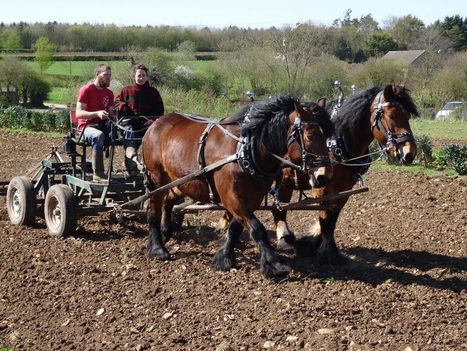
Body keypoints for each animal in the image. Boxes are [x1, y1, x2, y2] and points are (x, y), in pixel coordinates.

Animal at [142, 95, 332, 278]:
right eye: (310, 136)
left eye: (328, 136)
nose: (324, 175)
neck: (244, 151)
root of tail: (155, 124)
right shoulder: (232, 198)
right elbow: (257, 228)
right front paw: (273, 265)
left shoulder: (252, 198)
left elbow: (235, 228)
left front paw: (223, 258)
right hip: (156, 178)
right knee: (153, 208)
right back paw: (158, 249)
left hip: (180, 182)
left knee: (168, 200)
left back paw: (166, 232)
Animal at [270, 84, 420, 262]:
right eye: (391, 115)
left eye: (408, 115)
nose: (410, 153)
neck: (338, 143)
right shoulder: (322, 188)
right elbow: (325, 218)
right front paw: (326, 251)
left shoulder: (345, 189)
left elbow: (332, 218)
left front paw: (319, 243)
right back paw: (284, 240)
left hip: (284, 182)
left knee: (279, 207)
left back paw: (285, 239)